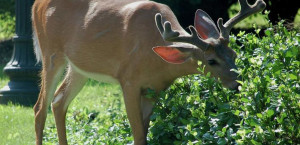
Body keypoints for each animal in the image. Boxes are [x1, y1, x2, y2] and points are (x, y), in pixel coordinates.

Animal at [31, 0, 266, 144]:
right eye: (211, 61)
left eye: (234, 53)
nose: (238, 84)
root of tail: (35, 5)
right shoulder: (129, 81)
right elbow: (137, 136)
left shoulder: (155, 89)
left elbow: (145, 133)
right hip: (51, 53)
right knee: (39, 107)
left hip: (79, 67)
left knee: (59, 101)